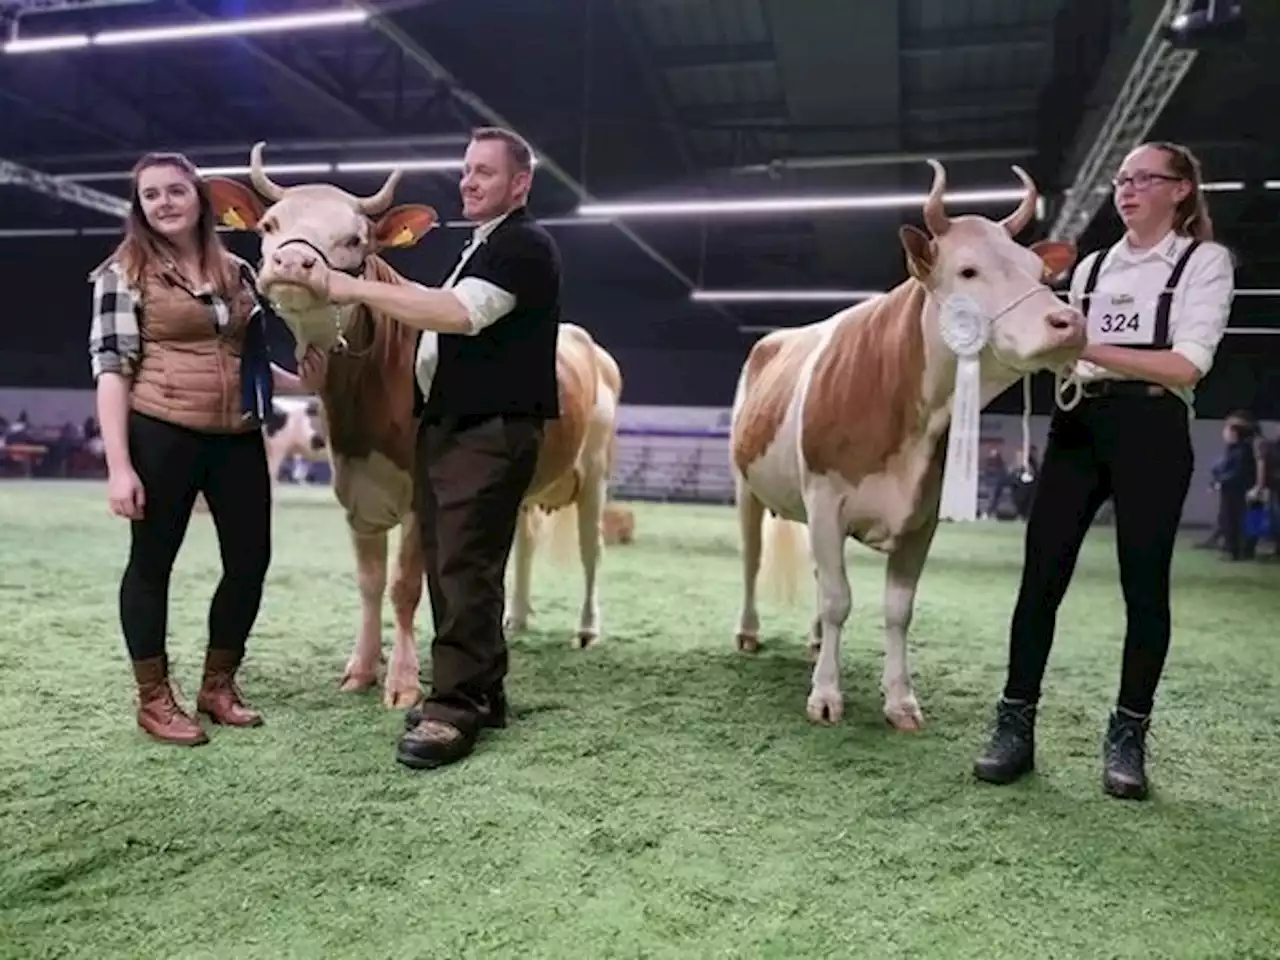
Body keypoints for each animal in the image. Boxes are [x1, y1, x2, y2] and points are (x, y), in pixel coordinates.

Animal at [206, 144, 624, 716]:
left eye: (356, 239)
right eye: (270, 225)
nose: (292, 263)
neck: (363, 406)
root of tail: (587, 342)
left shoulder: (421, 502)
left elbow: (404, 587)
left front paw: (402, 681)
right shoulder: (356, 493)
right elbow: (368, 583)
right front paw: (361, 668)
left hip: (597, 473)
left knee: (591, 550)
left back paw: (586, 628)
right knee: (523, 544)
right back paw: (514, 618)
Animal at [737, 160, 1085, 727]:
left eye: (1040, 273)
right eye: (968, 271)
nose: (1070, 323)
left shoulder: (922, 516)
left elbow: (897, 609)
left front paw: (900, 700)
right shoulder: (827, 499)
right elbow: (839, 599)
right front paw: (826, 696)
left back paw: (816, 642)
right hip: (747, 488)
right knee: (752, 561)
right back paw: (749, 633)